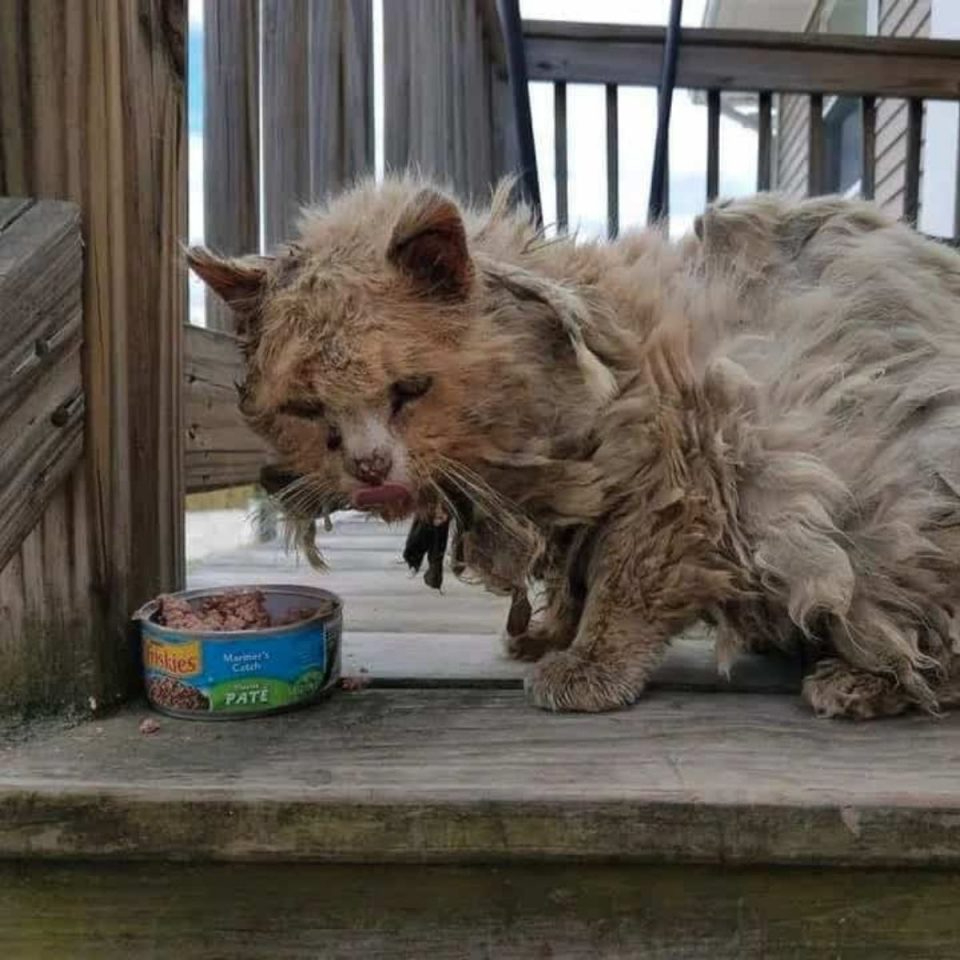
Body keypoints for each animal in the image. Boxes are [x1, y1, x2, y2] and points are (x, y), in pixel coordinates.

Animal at [186, 172, 960, 716]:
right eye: (307, 409)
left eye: (409, 390)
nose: (369, 466)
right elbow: (576, 579)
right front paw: (548, 634)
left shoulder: (681, 483)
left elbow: (622, 591)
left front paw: (588, 669)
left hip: (896, 517)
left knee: (925, 646)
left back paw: (854, 683)